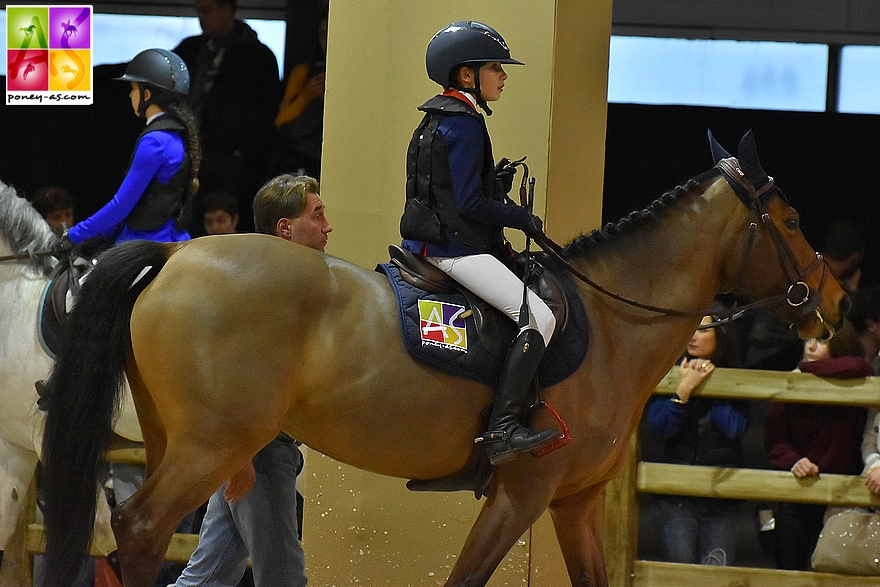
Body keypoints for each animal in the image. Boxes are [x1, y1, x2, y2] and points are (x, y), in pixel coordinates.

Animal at [39, 133, 844, 587]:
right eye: (793, 219)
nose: (834, 300)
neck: (613, 321)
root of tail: (174, 258)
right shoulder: (521, 491)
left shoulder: (574, 502)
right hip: (209, 446)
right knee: (140, 529)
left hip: (182, 442)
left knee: (137, 539)